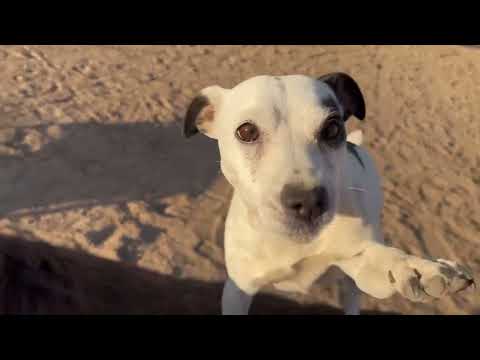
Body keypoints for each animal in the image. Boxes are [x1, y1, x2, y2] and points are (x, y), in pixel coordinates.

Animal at [182, 73, 474, 316]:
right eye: (246, 131)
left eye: (332, 128)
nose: (308, 202)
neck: (293, 243)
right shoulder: (237, 290)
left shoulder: (362, 267)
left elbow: (384, 261)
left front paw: (419, 269)